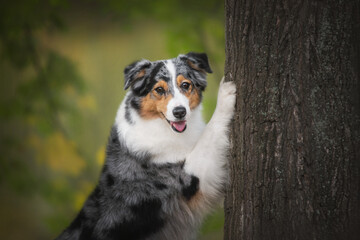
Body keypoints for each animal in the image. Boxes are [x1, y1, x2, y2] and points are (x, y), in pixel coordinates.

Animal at [56, 52, 236, 240]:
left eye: (185, 85)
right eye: (159, 90)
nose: (180, 112)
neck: (163, 128)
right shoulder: (187, 176)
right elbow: (211, 130)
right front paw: (226, 93)